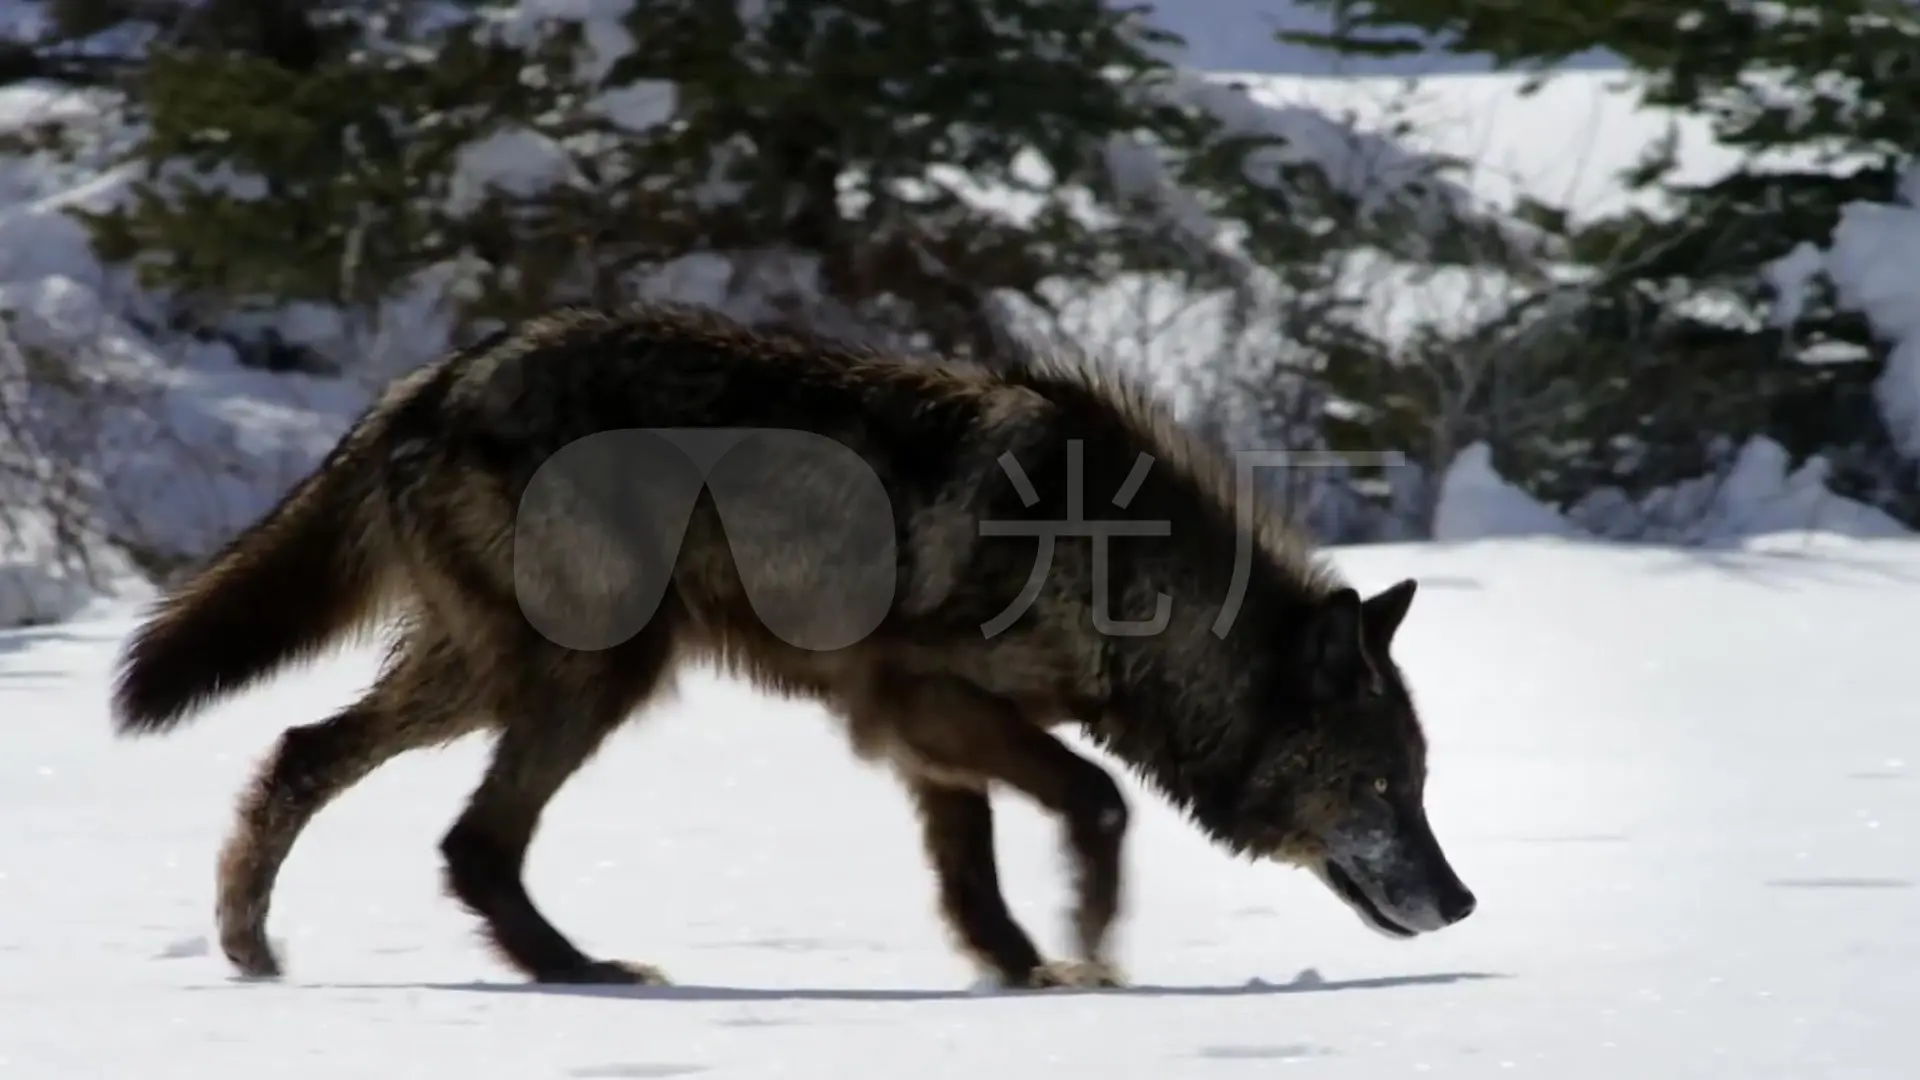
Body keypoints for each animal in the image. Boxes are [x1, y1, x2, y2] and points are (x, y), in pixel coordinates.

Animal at [105, 297, 1474, 991]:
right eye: (1380, 788)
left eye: (1417, 787)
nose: (1461, 900)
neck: (1124, 569)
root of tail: (430, 381)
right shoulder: (925, 700)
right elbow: (1097, 801)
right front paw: (1087, 949)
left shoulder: (921, 737)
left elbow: (973, 875)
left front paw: (1022, 973)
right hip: (593, 675)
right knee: (468, 840)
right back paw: (580, 974)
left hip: (485, 678)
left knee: (305, 754)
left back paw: (251, 949)